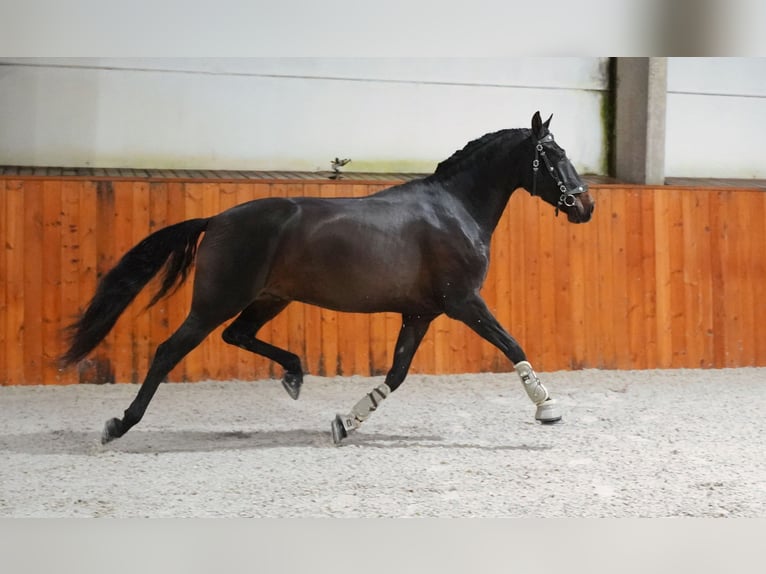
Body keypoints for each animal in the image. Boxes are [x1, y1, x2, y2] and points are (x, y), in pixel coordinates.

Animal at [63, 112, 596, 446]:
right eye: (553, 153)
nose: (585, 205)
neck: (454, 210)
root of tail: (216, 219)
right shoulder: (464, 302)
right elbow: (512, 345)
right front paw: (547, 408)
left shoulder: (420, 313)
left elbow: (396, 374)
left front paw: (345, 423)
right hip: (217, 301)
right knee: (168, 351)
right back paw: (120, 425)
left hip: (270, 298)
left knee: (238, 335)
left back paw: (294, 374)